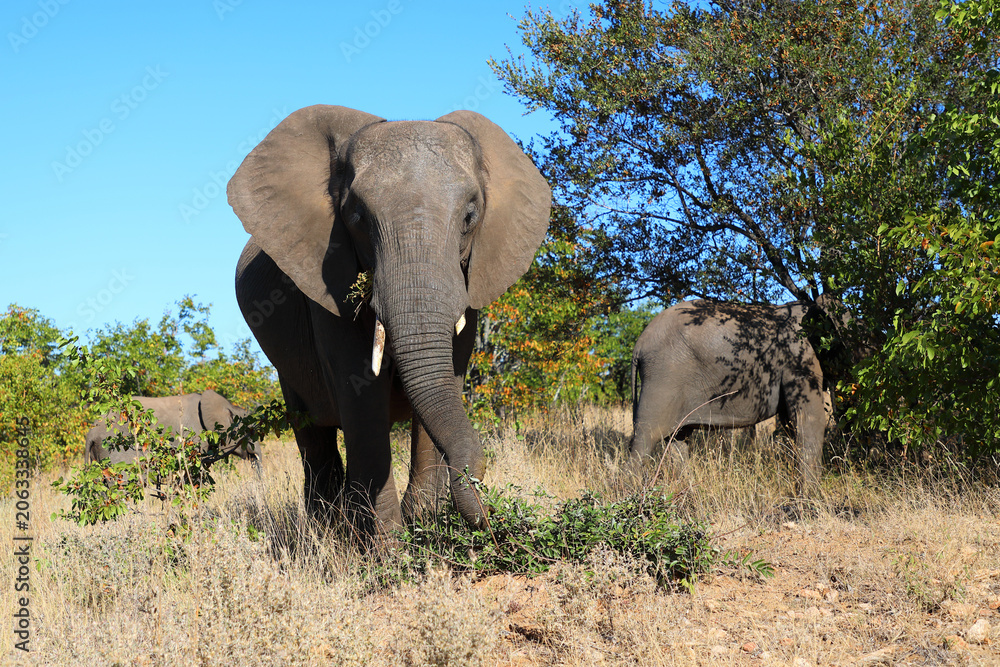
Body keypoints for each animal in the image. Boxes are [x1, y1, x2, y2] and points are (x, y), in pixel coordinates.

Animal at [227, 105, 551, 532]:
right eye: (357, 217)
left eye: (470, 216)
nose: (489, 513)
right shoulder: (326, 284)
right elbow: (360, 394)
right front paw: (389, 546)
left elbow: (447, 377)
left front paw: (424, 521)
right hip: (287, 370)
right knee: (314, 437)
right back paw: (327, 529)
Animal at [628, 298, 842, 494]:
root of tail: (639, 345)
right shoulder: (799, 357)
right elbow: (809, 419)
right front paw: (811, 498)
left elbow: (791, 422)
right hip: (663, 378)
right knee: (645, 439)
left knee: (677, 439)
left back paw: (686, 494)